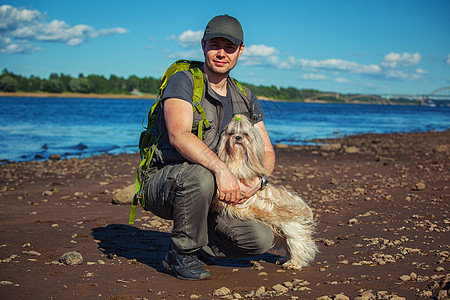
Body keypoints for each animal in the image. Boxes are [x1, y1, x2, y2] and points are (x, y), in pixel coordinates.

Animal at [214, 115, 316, 270]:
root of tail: (300, 204)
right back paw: (284, 259)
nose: (237, 137)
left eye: (245, 134)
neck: (237, 159)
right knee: (289, 247)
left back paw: (294, 263)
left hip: (292, 228)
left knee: (298, 246)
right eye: (231, 133)